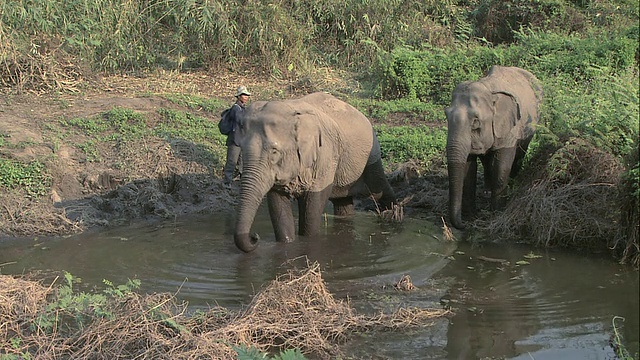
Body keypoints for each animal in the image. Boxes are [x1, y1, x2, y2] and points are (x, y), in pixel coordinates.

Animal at [232, 91, 398, 252]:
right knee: (343, 202)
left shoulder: (325, 154)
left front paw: (308, 242)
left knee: (379, 188)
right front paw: (287, 244)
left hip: (371, 156)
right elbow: (277, 203)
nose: (254, 237)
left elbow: (313, 204)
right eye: (241, 148)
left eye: (274, 152)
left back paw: (395, 214)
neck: (292, 112)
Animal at [444, 65, 544, 228]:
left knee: (520, 153)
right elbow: (468, 169)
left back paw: (512, 185)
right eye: (446, 115)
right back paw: (486, 192)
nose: (464, 225)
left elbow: (502, 166)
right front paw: (470, 216)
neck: (487, 89)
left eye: (476, 121)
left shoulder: (509, 129)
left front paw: (496, 213)